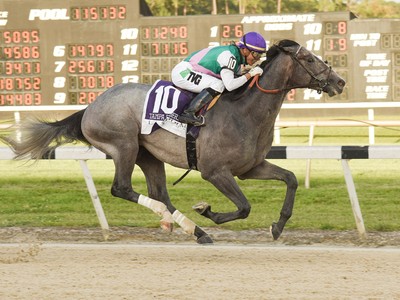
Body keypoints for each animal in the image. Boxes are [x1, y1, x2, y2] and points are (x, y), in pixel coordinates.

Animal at [2, 40, 344, 244]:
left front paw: (278, 225)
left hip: (149, 156)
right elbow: (244, 207)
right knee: (122, 189)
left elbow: (291, 179)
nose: (339, 82)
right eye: (309, 58)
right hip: (124, 146)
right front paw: (208, 211)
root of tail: (89, 107)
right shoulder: (215, 171)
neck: (244, 111)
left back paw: (194, 230)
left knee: (160, 195)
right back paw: (189, 224)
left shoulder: (251, 167)